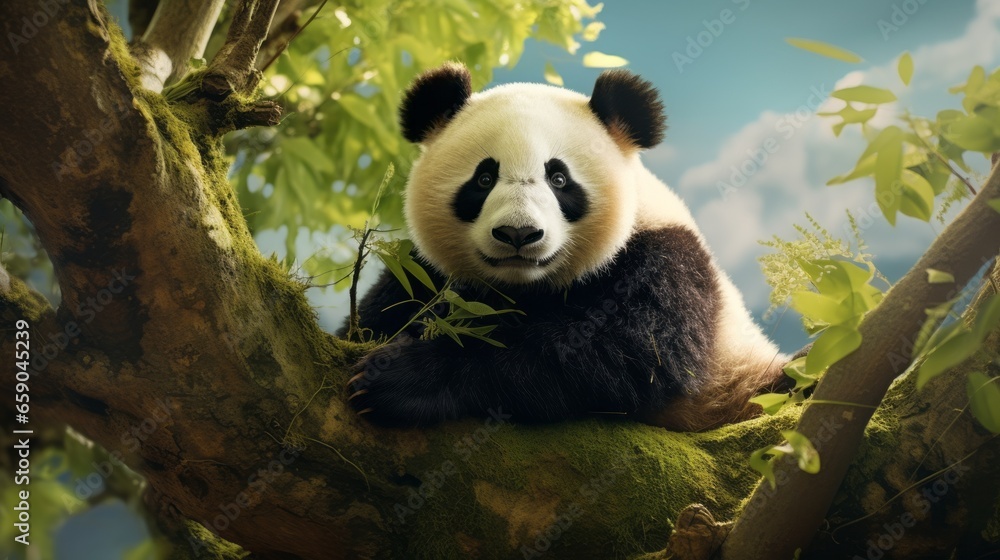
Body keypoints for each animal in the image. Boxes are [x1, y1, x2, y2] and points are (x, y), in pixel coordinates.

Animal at [344, 63, 790, 432]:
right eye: (484, 178)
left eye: (559, 179)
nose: (518, 234)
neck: (521, 287)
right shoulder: (424, 274)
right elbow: (380, 315)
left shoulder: (663, 261)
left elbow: (622, 355)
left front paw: (397, 379)